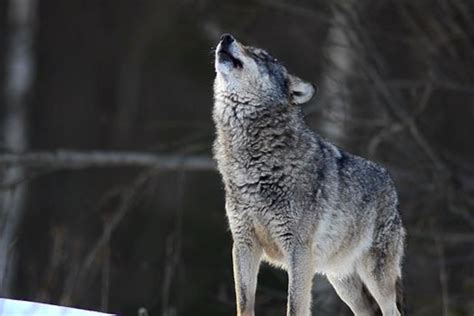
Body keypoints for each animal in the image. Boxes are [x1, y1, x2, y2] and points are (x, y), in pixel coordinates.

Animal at [213, 34, 406, 316]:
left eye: (261, 56)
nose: (226, 38)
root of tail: (390, 182)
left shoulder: (299, 250)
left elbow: (295, 305)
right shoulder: (243, 245)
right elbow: (244, 304)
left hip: (375, 275)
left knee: (391, 310)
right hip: (342, 280)